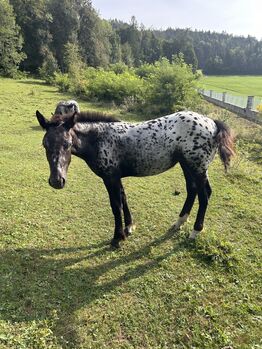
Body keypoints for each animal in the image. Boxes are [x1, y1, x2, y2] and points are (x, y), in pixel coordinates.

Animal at [35, 109, 234, 247]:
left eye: (67, 144)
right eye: (44, 144)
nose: (56, 181)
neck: (99, 139)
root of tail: (212, 123)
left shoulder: (110, 178)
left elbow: (116, 205)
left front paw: (117, 238)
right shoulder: (116, 177)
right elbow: (124, 198)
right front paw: (129, 227)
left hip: (197, 167)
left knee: (204, 195)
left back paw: (195, 231)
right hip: (187, 166)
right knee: (193, 190)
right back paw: (179, 222)